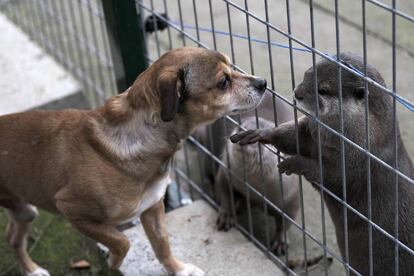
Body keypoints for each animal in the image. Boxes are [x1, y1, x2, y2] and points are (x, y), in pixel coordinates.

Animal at [0, 47, 266, 276]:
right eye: (223, 82)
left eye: (232, 66)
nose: (263, 83)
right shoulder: (72, 211)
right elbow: (122, 241)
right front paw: (113, 261)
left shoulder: (153, 209)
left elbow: (162, 246)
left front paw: (178, 269)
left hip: (25, 211)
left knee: (13, 237)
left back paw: (31, 269)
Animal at [231, 52, 414, 274]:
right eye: (306, 74)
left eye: (323, 90)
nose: (297, 93)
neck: (365, 139)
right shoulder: (311, 132)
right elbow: (293, 137)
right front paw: (260, 133)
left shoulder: (357, 164)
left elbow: (328, 175)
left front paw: (294, 163)